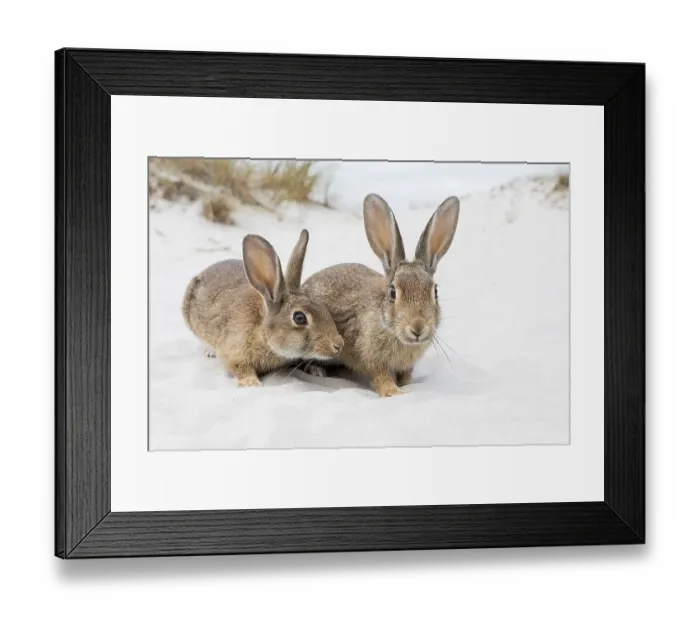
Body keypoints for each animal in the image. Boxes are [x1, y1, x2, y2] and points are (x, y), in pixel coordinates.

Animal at [182, 229, 344, 387]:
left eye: (323, 307)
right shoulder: (234, 352)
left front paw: (317, 370)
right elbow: (240, 367)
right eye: (299, 318)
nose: (339, 345)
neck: (262, 332)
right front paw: (252, 383)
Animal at [301, 194, 460, 397]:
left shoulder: (405, 365)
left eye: (435, 292)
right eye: (393, 292)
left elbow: (405, 375)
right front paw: (394, 392)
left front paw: (407, 385)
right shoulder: (371, 357)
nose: (418, 327)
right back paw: (317, 371)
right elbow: (381, 376)